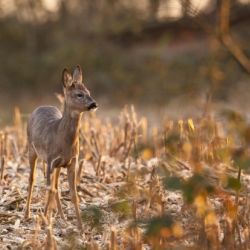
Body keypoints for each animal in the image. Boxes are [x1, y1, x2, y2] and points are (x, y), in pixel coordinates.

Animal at [24, 65, 96, 232]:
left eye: (89, 91)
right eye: (79, 94)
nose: (93, 104)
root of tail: (39, 107)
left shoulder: (72, 161)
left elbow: (73, 193)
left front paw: (81, 227)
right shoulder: (50, 160)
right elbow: (48, 188)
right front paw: (44, 220)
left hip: (58, 165)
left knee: (56, 186)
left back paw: (62, 217)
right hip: (31, 149)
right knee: (32, 179)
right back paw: (27, 214)